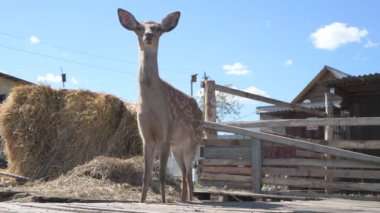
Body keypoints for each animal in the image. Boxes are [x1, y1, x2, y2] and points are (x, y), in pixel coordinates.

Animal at [117, 8, 203, 203]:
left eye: (157, 28)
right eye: (139, 27)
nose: (148, 35)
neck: (151, 104)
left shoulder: (165, 132)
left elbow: (162, 174)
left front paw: (163, 201)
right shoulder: (146, 135)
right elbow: (146, 175)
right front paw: (141, 200)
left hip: (193, 141)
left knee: (188, 173)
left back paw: (189, 199)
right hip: (177, 147)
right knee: (185, 173)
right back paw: (183, 199)